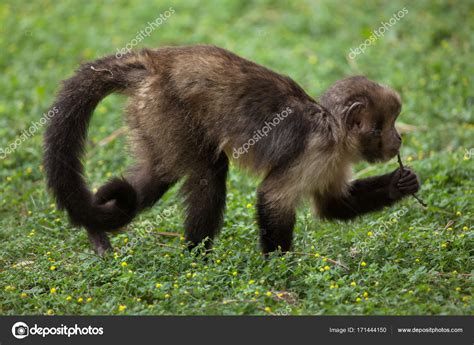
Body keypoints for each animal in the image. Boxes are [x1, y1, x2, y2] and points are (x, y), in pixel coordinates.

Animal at [44, 44, 420, 255]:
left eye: (394, 123)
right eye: (385, 126)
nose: (399, 139)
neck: (333, 130)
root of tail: (154, 63)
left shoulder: (335, 160)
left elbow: (332, 205)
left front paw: (399, 184)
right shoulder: (317, 151)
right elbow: (272, 197)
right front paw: (280, 271)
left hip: (148, 116)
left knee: (155, 175)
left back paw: (96, 226)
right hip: (167, 108)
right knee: (208, 171)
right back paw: (198, 261)